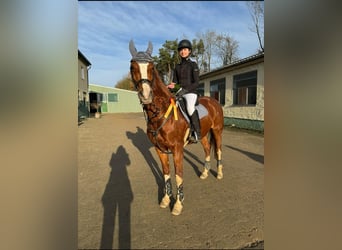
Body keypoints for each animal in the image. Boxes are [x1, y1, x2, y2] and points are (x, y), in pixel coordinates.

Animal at [129, 40, 224, 215]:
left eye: (151, 67)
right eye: (133, 67)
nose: (146, 96)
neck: (160, 114)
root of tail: (214, 101)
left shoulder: (177, 148)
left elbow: (178, 174)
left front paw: (178, 205)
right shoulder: (159, 149)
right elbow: (166, 173)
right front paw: (166, 200)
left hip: (217, 131)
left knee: (219, 150)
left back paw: (219, 174)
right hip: (202, 135)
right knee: (208, 150)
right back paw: (204, 173)